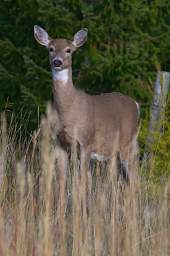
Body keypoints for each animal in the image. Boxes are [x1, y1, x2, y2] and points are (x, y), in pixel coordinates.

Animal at [33, 25, 139, 182]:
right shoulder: (60, 143)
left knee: (135, 178)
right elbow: (62, 177)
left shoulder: (86, 142)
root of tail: (136, 104)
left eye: (68, 50)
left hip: (127, 142)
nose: (57, 62)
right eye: (51, 49)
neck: (68, 110)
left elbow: (81, 178)